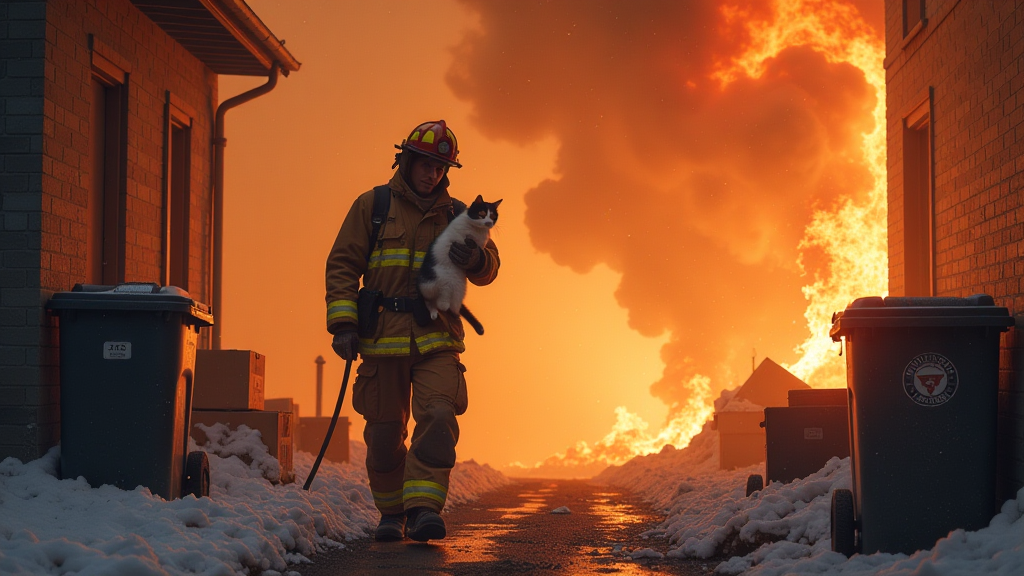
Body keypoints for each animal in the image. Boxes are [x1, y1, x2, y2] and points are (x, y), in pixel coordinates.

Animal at [417, 194, 501, 334]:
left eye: (493, 216)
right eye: (482, 214)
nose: (489, 223)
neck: (477, 230)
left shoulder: (479, 245)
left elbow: (476, 249)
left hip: (458, 291)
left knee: (447, 305)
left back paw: (449, 311)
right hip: (430, 284)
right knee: (430, 301)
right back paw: (435, 311)